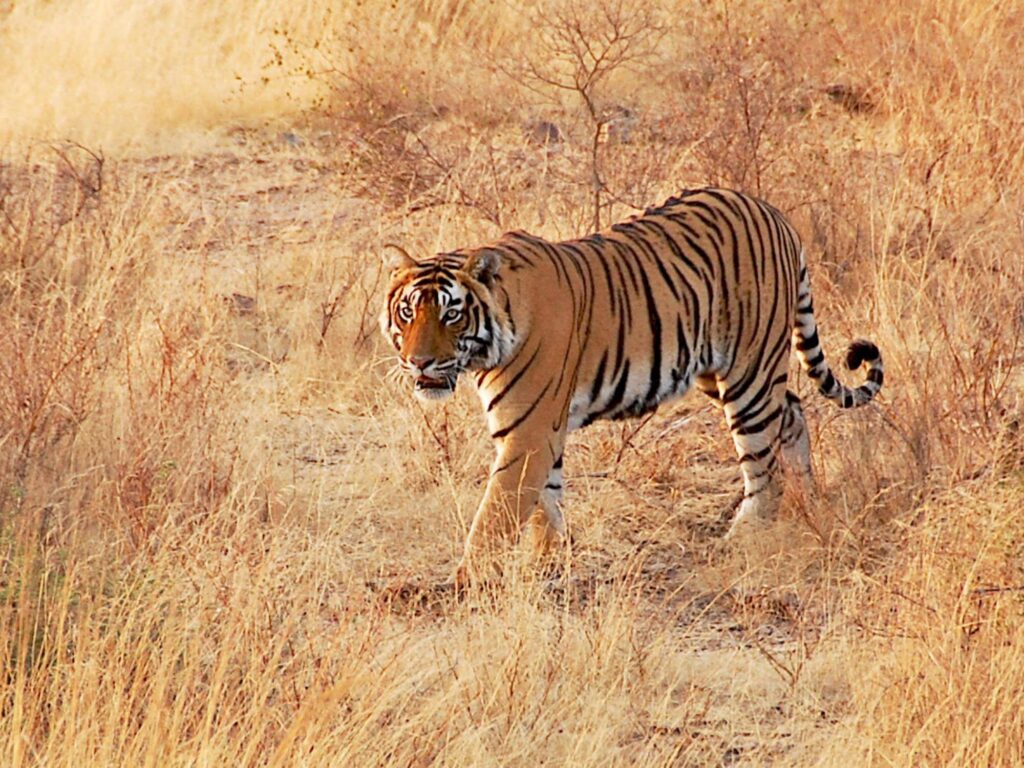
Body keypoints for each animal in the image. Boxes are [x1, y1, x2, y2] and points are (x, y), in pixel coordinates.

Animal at [380, 186, 884, 581]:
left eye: (451, 314)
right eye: (407, 312)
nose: (419, 362)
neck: (489, 343)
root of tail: (772, 211)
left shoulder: (527, 432)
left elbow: (495, 516)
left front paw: (466, 582)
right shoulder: (541, 430)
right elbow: (546, 502)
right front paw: (550, 562)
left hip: (750, 374)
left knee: (763, 462)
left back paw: (746, 537)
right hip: (715, 372)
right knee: (793, 413)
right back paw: (810, 503)